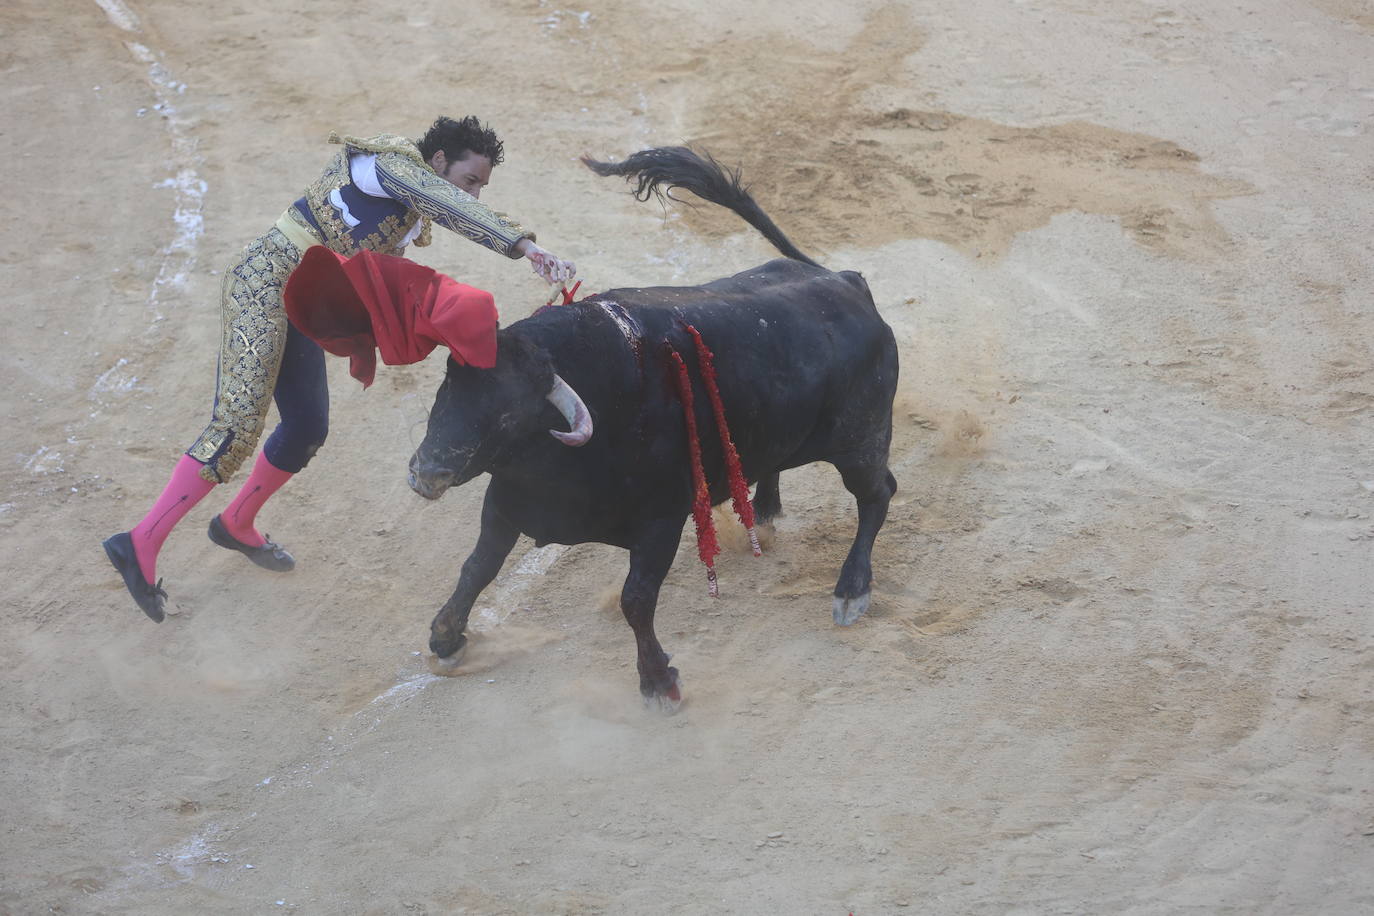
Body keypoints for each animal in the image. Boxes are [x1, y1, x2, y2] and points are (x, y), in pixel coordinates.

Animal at [403, 150, 901, 708]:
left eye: (509, 415)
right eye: (448, 386)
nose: (426, 473)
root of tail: (845, 280)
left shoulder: (662, 520)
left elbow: (635, 599)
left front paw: (659, 682)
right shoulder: (507, 501)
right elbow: (478, 567)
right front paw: (445, 639)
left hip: (861, 441)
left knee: (878, 493)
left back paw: (851, 591)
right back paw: (765, 513)